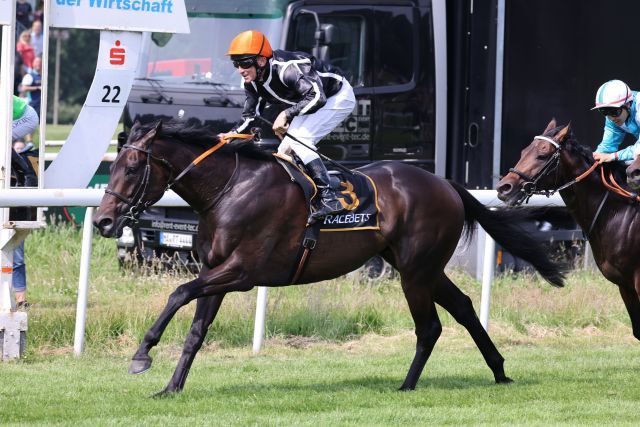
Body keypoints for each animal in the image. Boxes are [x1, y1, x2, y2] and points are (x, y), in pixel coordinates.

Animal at [92, 119, 564, 394]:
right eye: (111, 167)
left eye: (131, 169)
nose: (102, 220)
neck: (229, 190)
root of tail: (447, 184)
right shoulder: (217, 270)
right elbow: (196, 329)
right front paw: (170, 387)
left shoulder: (242, 271)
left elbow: (178, 292)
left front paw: (142, 354)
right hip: (419, 266)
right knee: (464, 308)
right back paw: (499, 371)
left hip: (415, 271)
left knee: (429, 326)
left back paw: (407, 386)